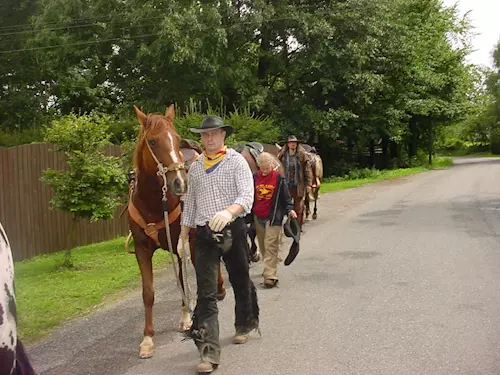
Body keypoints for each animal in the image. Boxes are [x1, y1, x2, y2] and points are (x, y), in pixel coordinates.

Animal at [127, 105, 227, 358]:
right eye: (153, 142)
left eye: (175, 137)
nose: (180, 182)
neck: (154, 203)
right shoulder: (142, 250)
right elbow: (148, 293)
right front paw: (147, 339)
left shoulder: (181, 244)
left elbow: (183, 279)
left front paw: (186, 319)